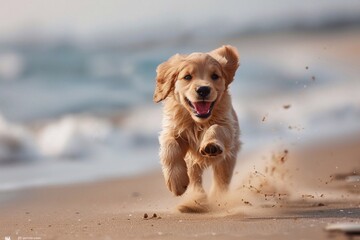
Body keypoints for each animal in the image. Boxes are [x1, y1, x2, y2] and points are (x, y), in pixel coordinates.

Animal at [153, 45, 240, 212]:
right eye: (187, 77)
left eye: (215, 76)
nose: (203, 90)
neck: (198, 122)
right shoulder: (172, 129)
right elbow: (169, 146)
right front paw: (176, 182)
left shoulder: (228, 127)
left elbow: (216, 127)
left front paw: (211, 144)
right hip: (192, 162)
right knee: (195, 179)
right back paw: (195, 201)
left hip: (227, 159)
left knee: (221, 179)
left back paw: (216, 199)